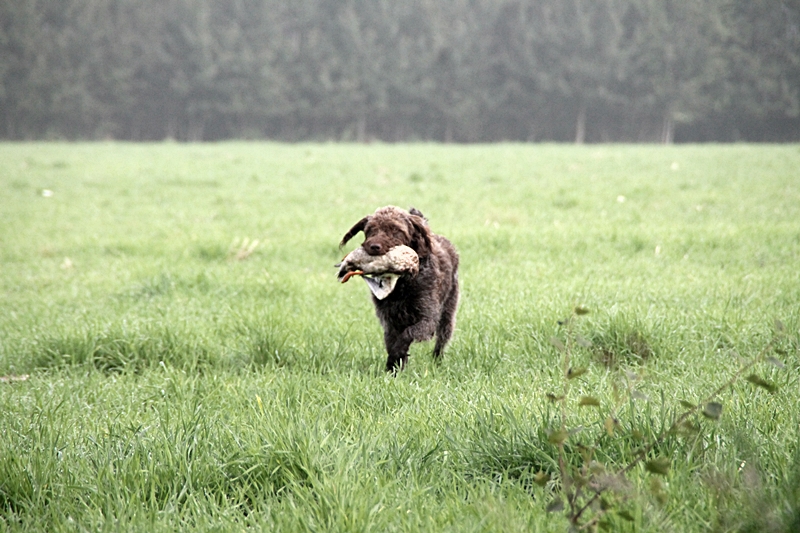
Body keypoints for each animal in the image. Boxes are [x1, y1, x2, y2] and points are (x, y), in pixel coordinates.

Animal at [340, 206, 460, 372]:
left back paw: (437, 362)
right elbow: (392, 344)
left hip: (448, 314)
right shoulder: (390, 322)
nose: (374, 246)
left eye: (396, 230)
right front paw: (393, 369)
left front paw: (396, 356)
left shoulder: (428, 320)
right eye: (370, 229)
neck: (402, 284)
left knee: (441, 341)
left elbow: (407, 335)